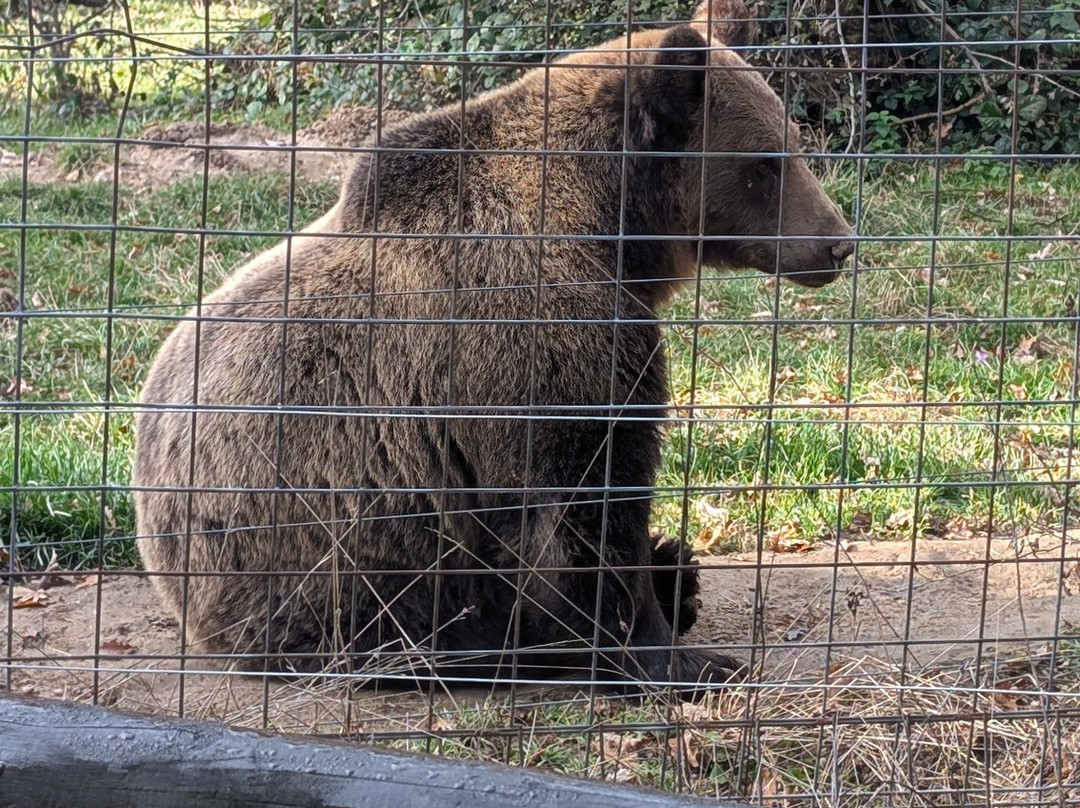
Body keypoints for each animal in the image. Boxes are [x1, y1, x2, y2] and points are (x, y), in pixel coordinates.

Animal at [133, 0, 853, 696]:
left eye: (793, 143)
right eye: (767, 161)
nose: (838, 242)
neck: (613, 227)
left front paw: (672, 599)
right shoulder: (546, 339)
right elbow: (586, 503)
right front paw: (686, 662)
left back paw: (674, 571)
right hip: (333, 549)